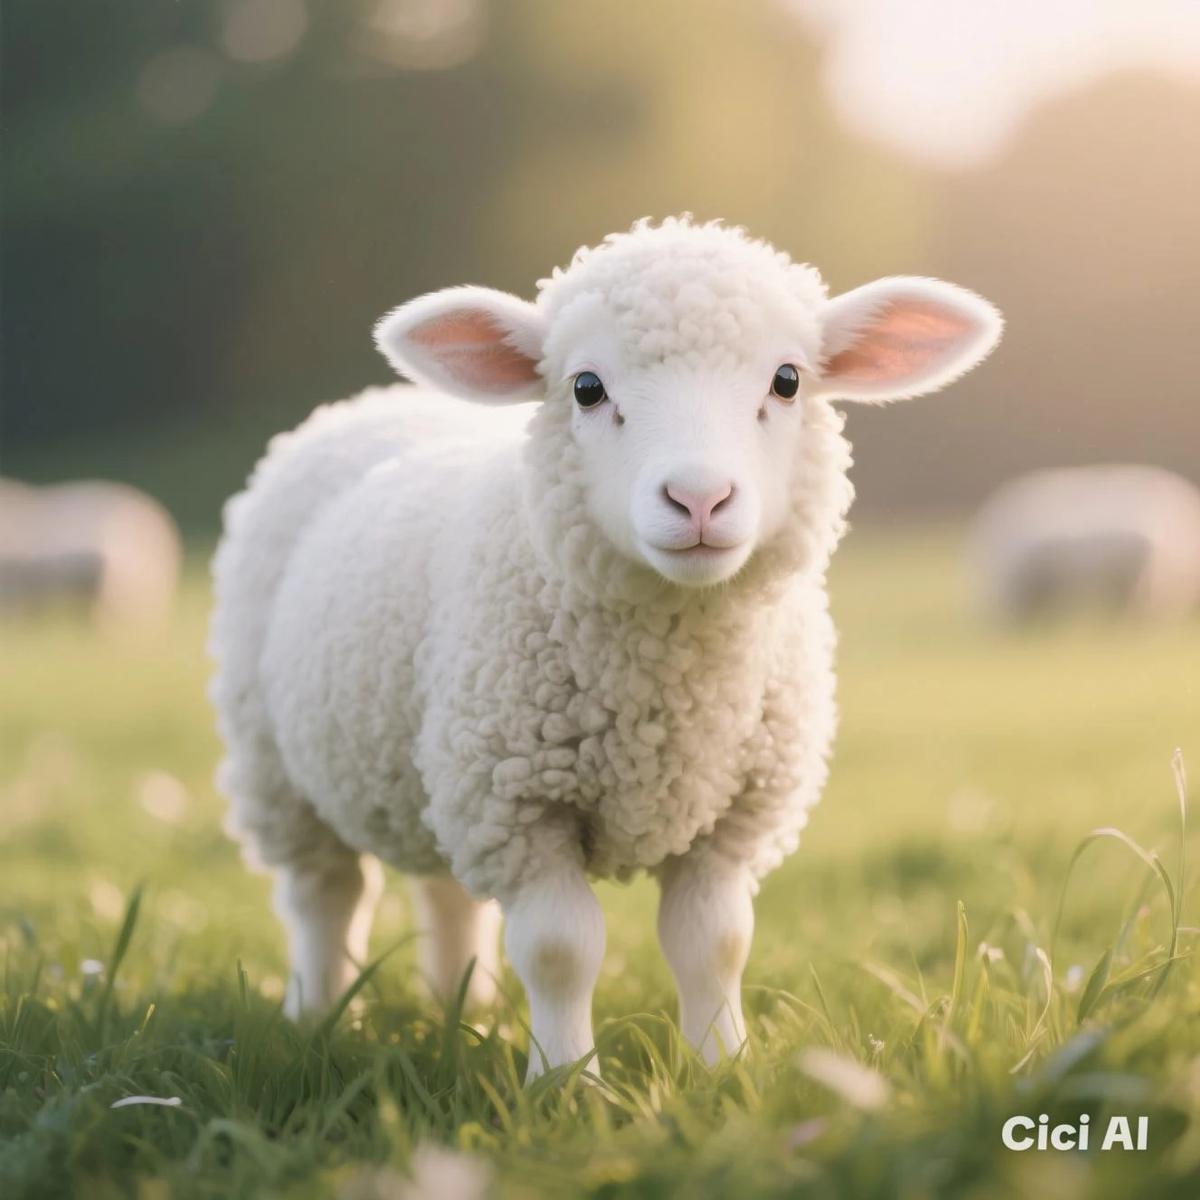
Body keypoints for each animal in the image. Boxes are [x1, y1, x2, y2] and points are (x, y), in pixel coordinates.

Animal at [209, 218, 1001, 1078]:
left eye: (788, 380)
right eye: (587, 388)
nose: (698, 497)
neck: (670, 699)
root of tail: (376, 400)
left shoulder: (730, 817)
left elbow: (714, 944)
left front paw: (721, 1070)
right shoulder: (521, 805)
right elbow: (561, 950)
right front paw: (564, 1083)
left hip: (440, 764)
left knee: (449, 894)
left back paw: (464, 1007)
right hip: (282, 771)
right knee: (327, 898)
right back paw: (317, 1018)